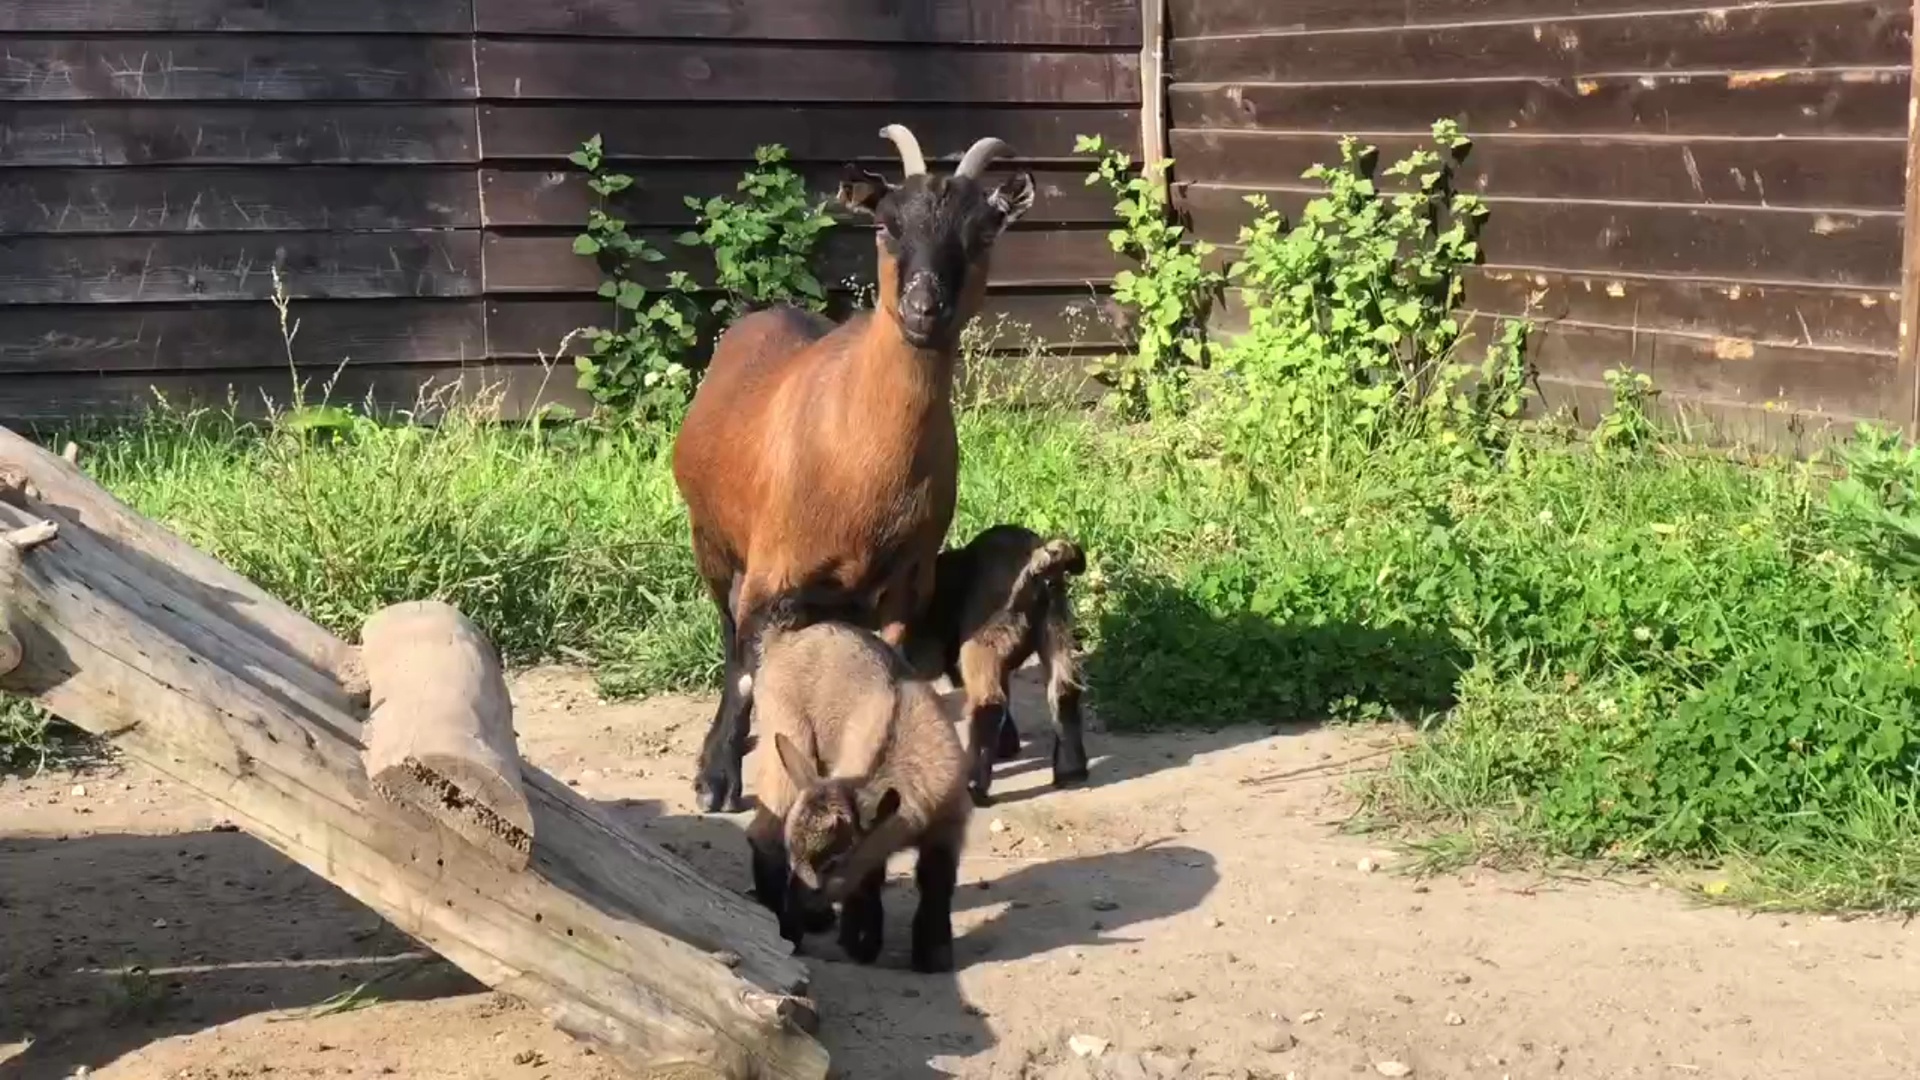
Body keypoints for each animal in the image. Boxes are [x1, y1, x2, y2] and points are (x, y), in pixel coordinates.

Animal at [675, 123, 1036, 807]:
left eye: (982, 232)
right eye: (887, 225)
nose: (924, 308)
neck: (860, 462)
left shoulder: (903, 585)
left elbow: (881, 673)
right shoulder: (769, 574)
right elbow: (744, 669)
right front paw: (716, 778)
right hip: (711, 540)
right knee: (729, 637)